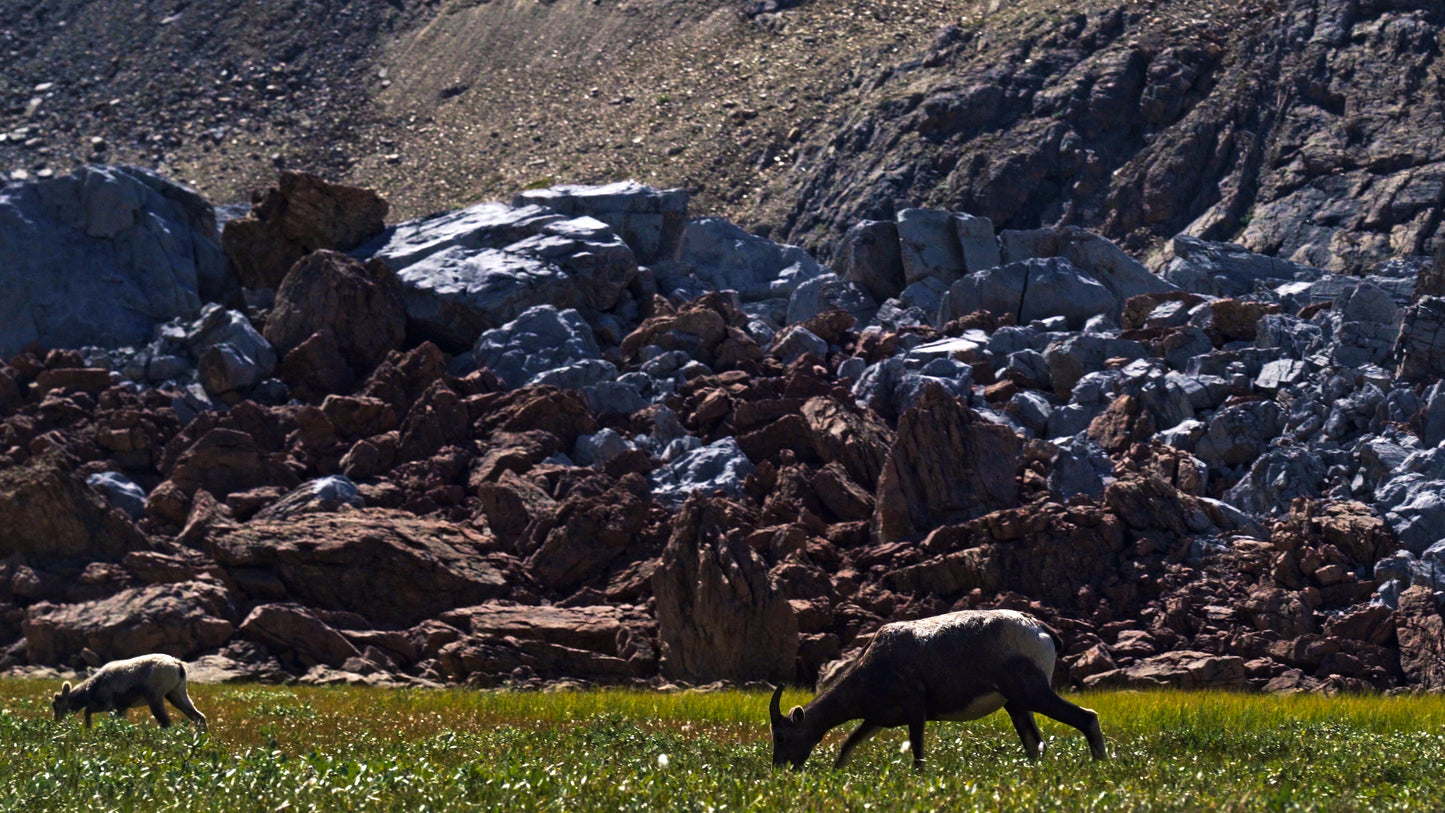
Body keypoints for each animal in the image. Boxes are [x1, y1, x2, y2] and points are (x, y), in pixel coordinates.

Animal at [52, 653, 207, 732]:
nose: (57, 723)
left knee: (166, 723)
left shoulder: (105, 704)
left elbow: (87, 711)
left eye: (56, 705)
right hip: (176, 694)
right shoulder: (120, 709)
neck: (94, 687)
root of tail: (177, 665)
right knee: (198, 716)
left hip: (155, 698)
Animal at [769, 609, 1106, 769]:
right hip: (1016, 704)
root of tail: (1040, 629)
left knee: (1086, 717)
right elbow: (847, 746)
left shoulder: (915, 709)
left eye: (782, 736)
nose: (780, 770)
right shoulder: (876, 720)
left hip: (1032, 693)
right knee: (1034, 744)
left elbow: (918, 755)